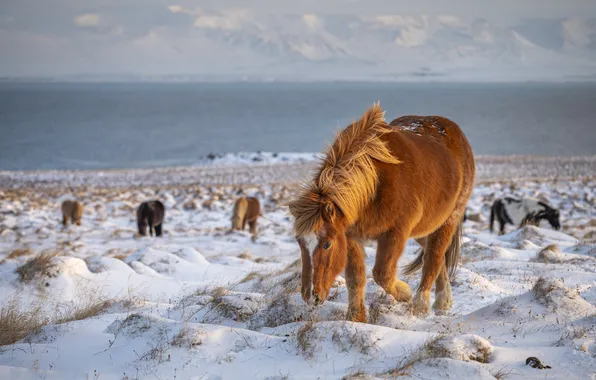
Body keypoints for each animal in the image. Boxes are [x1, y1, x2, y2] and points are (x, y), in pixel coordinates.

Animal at [288, 102, 474, 320]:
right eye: (300, 243)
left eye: (326, 244)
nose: (310, 297)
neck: (375, 183)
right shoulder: (350, 236)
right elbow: (355, 277)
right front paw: (356, 318)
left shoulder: (395, 233)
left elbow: (383, 274)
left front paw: (405, 293)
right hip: (425, 227)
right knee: (435, 254)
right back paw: (442, 302)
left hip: (448, 221)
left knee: (433, 259)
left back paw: (423, 306)